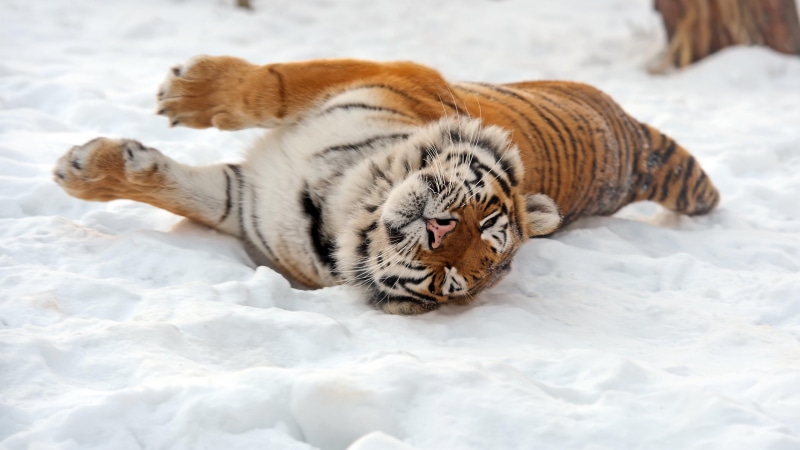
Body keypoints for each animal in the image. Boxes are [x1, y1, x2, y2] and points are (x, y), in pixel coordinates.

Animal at [53, 56, 720, 315]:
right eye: (487, 220)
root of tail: (633, 141)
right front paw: (185, 92)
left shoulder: (242, 204)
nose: (438, 231)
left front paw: (82, 168)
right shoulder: (379, 72)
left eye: (450, 278)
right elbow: (269, 87)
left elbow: (185, 189)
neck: (344, 199)